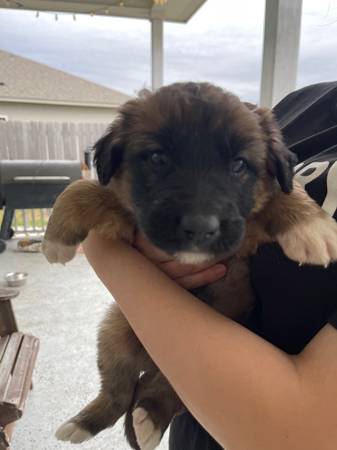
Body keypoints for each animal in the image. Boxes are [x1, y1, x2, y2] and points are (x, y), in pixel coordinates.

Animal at [43, 82, 336, 448]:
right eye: (158, 159)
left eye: (239, 165)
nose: (199, 226)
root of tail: (152, 362)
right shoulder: (128, 222)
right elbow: (85, 186)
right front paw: (56, 237)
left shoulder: (245, 230)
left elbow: (283, 191)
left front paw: (312, 225)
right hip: (114, 331)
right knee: (118, 392)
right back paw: (84, 423)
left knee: (163, 388)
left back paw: (150, 417)